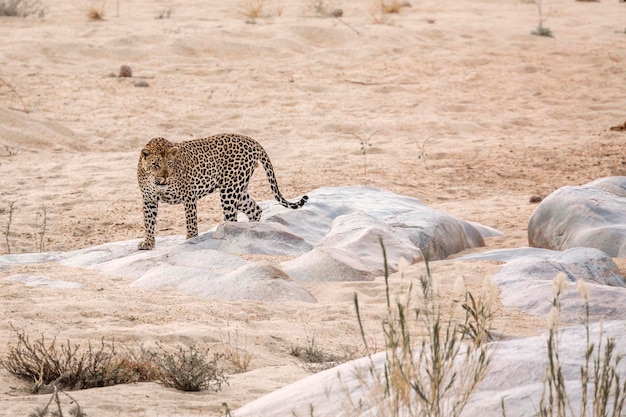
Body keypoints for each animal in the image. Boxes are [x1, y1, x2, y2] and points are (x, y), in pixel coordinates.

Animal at [136, 135, 308, 249]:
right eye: (156, 164)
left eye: (170, 163)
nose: (165, 176)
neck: (156, 183)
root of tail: (251, 140)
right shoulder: (149, 199)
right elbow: (148, 221)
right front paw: (148, 242)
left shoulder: (188, 196)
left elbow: (191, 221)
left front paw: (190, 239)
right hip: (239, 189)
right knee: (255, 209)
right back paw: (253, 230)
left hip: (230, 190)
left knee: (232, 218)